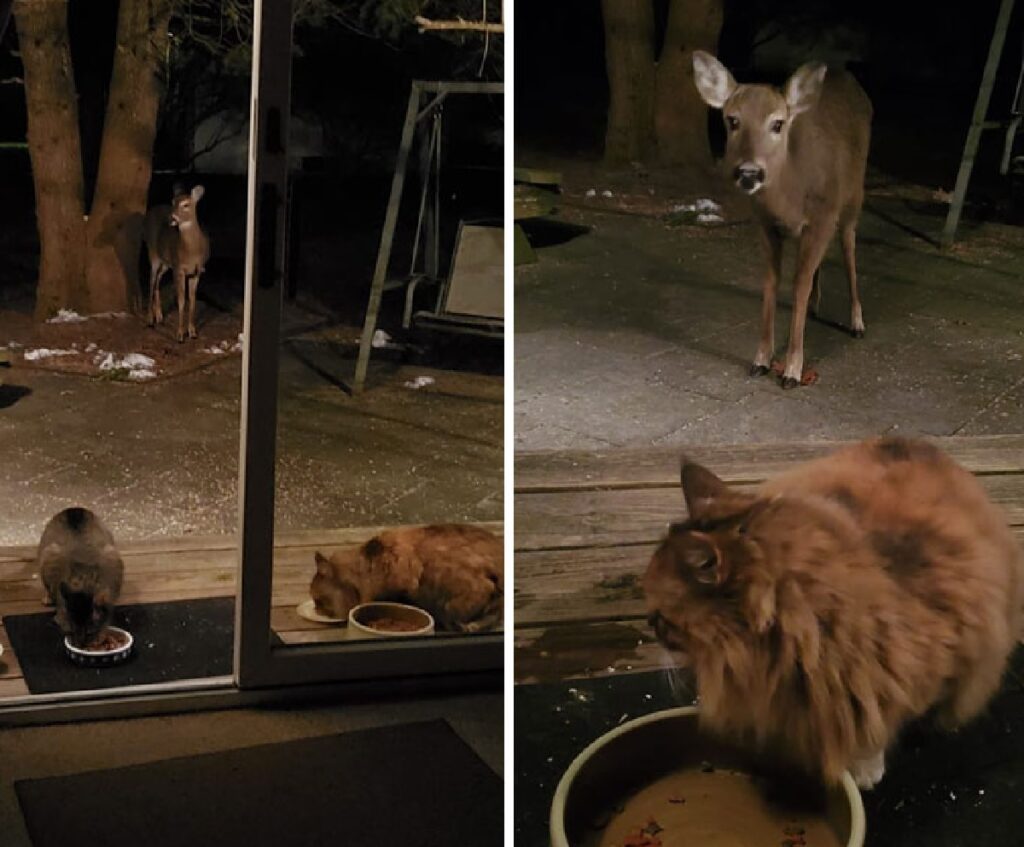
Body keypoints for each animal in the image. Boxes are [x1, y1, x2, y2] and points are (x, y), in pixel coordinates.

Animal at [37, 510, 123, 647]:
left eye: (89, 632)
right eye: (71, 631)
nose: (80, 644)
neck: (83, 581)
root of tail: (73, 509)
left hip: (112, 553)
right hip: (48, 553)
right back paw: (48, 598)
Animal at [142, 187, 209, 342]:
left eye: (186, 204)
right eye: (172, 202)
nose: (171, 218)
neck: (192, 251)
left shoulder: (196, 272)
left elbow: (192, 301)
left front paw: (192, 332)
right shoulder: (179, 269)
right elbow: (181, 301)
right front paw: (180, 334)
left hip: (166, 263)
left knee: (157, 281)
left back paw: (159, 316)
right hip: (153, 253)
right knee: (151, 281)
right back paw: (150, 319)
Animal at [688, 54, 872, 393]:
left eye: (777, 123)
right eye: (732, 120)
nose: (749, 172)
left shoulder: (822, 217)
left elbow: (799, 283)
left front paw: (792, 370)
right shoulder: (765, 223)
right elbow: (772, 282)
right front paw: (761, 359)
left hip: (854, 194)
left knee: (849, 246)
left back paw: (856, 322)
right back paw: (815, 306)